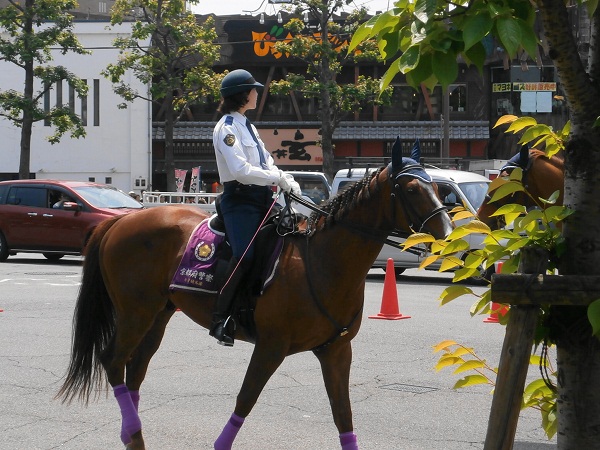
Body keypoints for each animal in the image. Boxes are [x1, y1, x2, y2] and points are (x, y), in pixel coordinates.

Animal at [57, 145, 450, 450]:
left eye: (437, 187)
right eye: (411, 188)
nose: (447, 230)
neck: (322, 261)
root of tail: (122, 220)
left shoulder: (336, 350)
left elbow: (344, 415)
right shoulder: (271, 346)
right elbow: (246, 399)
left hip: (158, 314)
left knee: (134, 372)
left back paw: (134, 435)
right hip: (135, 313)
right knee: (112, 362)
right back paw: (132, 429)